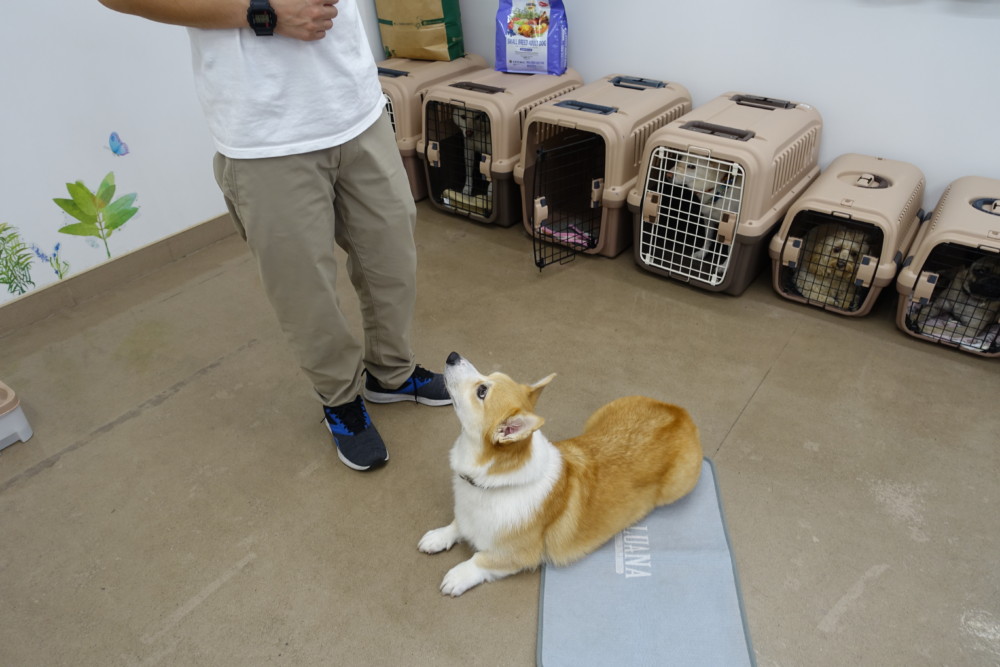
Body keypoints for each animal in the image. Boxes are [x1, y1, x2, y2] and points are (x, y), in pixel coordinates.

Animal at [419, 352, 703, 597]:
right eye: (488, 377)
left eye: (482, 391)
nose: (453, 355)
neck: (491, 482)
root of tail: (680, 412)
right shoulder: (467, 517)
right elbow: (457, 524)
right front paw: (437, 537)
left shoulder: (518, 554)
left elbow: (480, 560)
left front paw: (457, 576)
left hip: (676, 489)